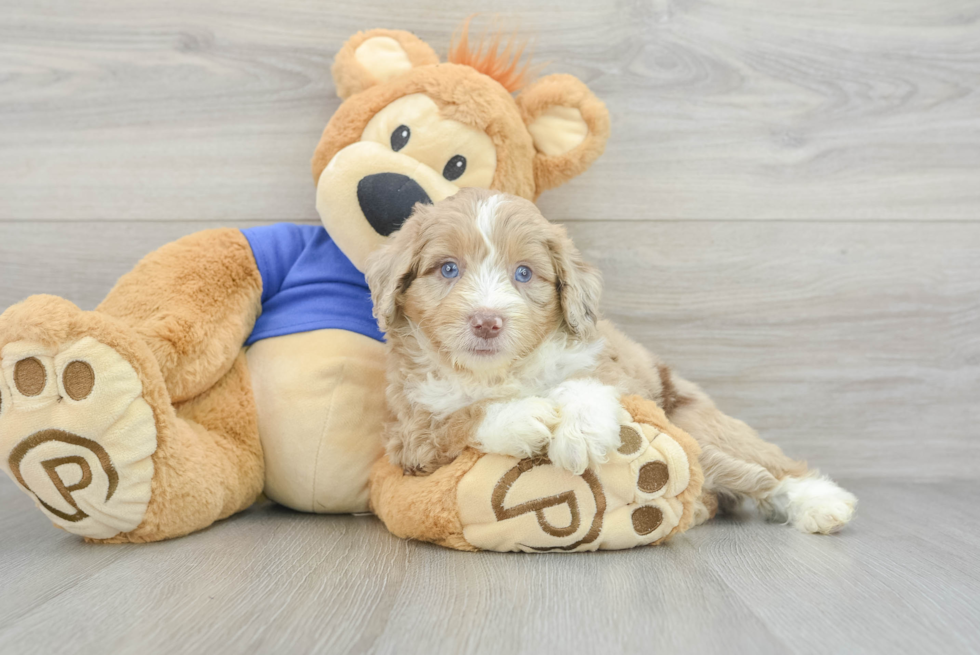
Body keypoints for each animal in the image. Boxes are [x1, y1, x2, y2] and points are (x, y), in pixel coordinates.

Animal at [364, 187, 852, 536]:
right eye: (448, 269)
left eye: (524, 273)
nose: (487, 322)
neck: (498, 371)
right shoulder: (408, 432)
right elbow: (455, 420)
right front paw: (521, 415)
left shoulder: (614, 370)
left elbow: (591, 383)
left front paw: (581, 429)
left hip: (696, 422)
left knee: (759, 471)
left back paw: (818, 501)